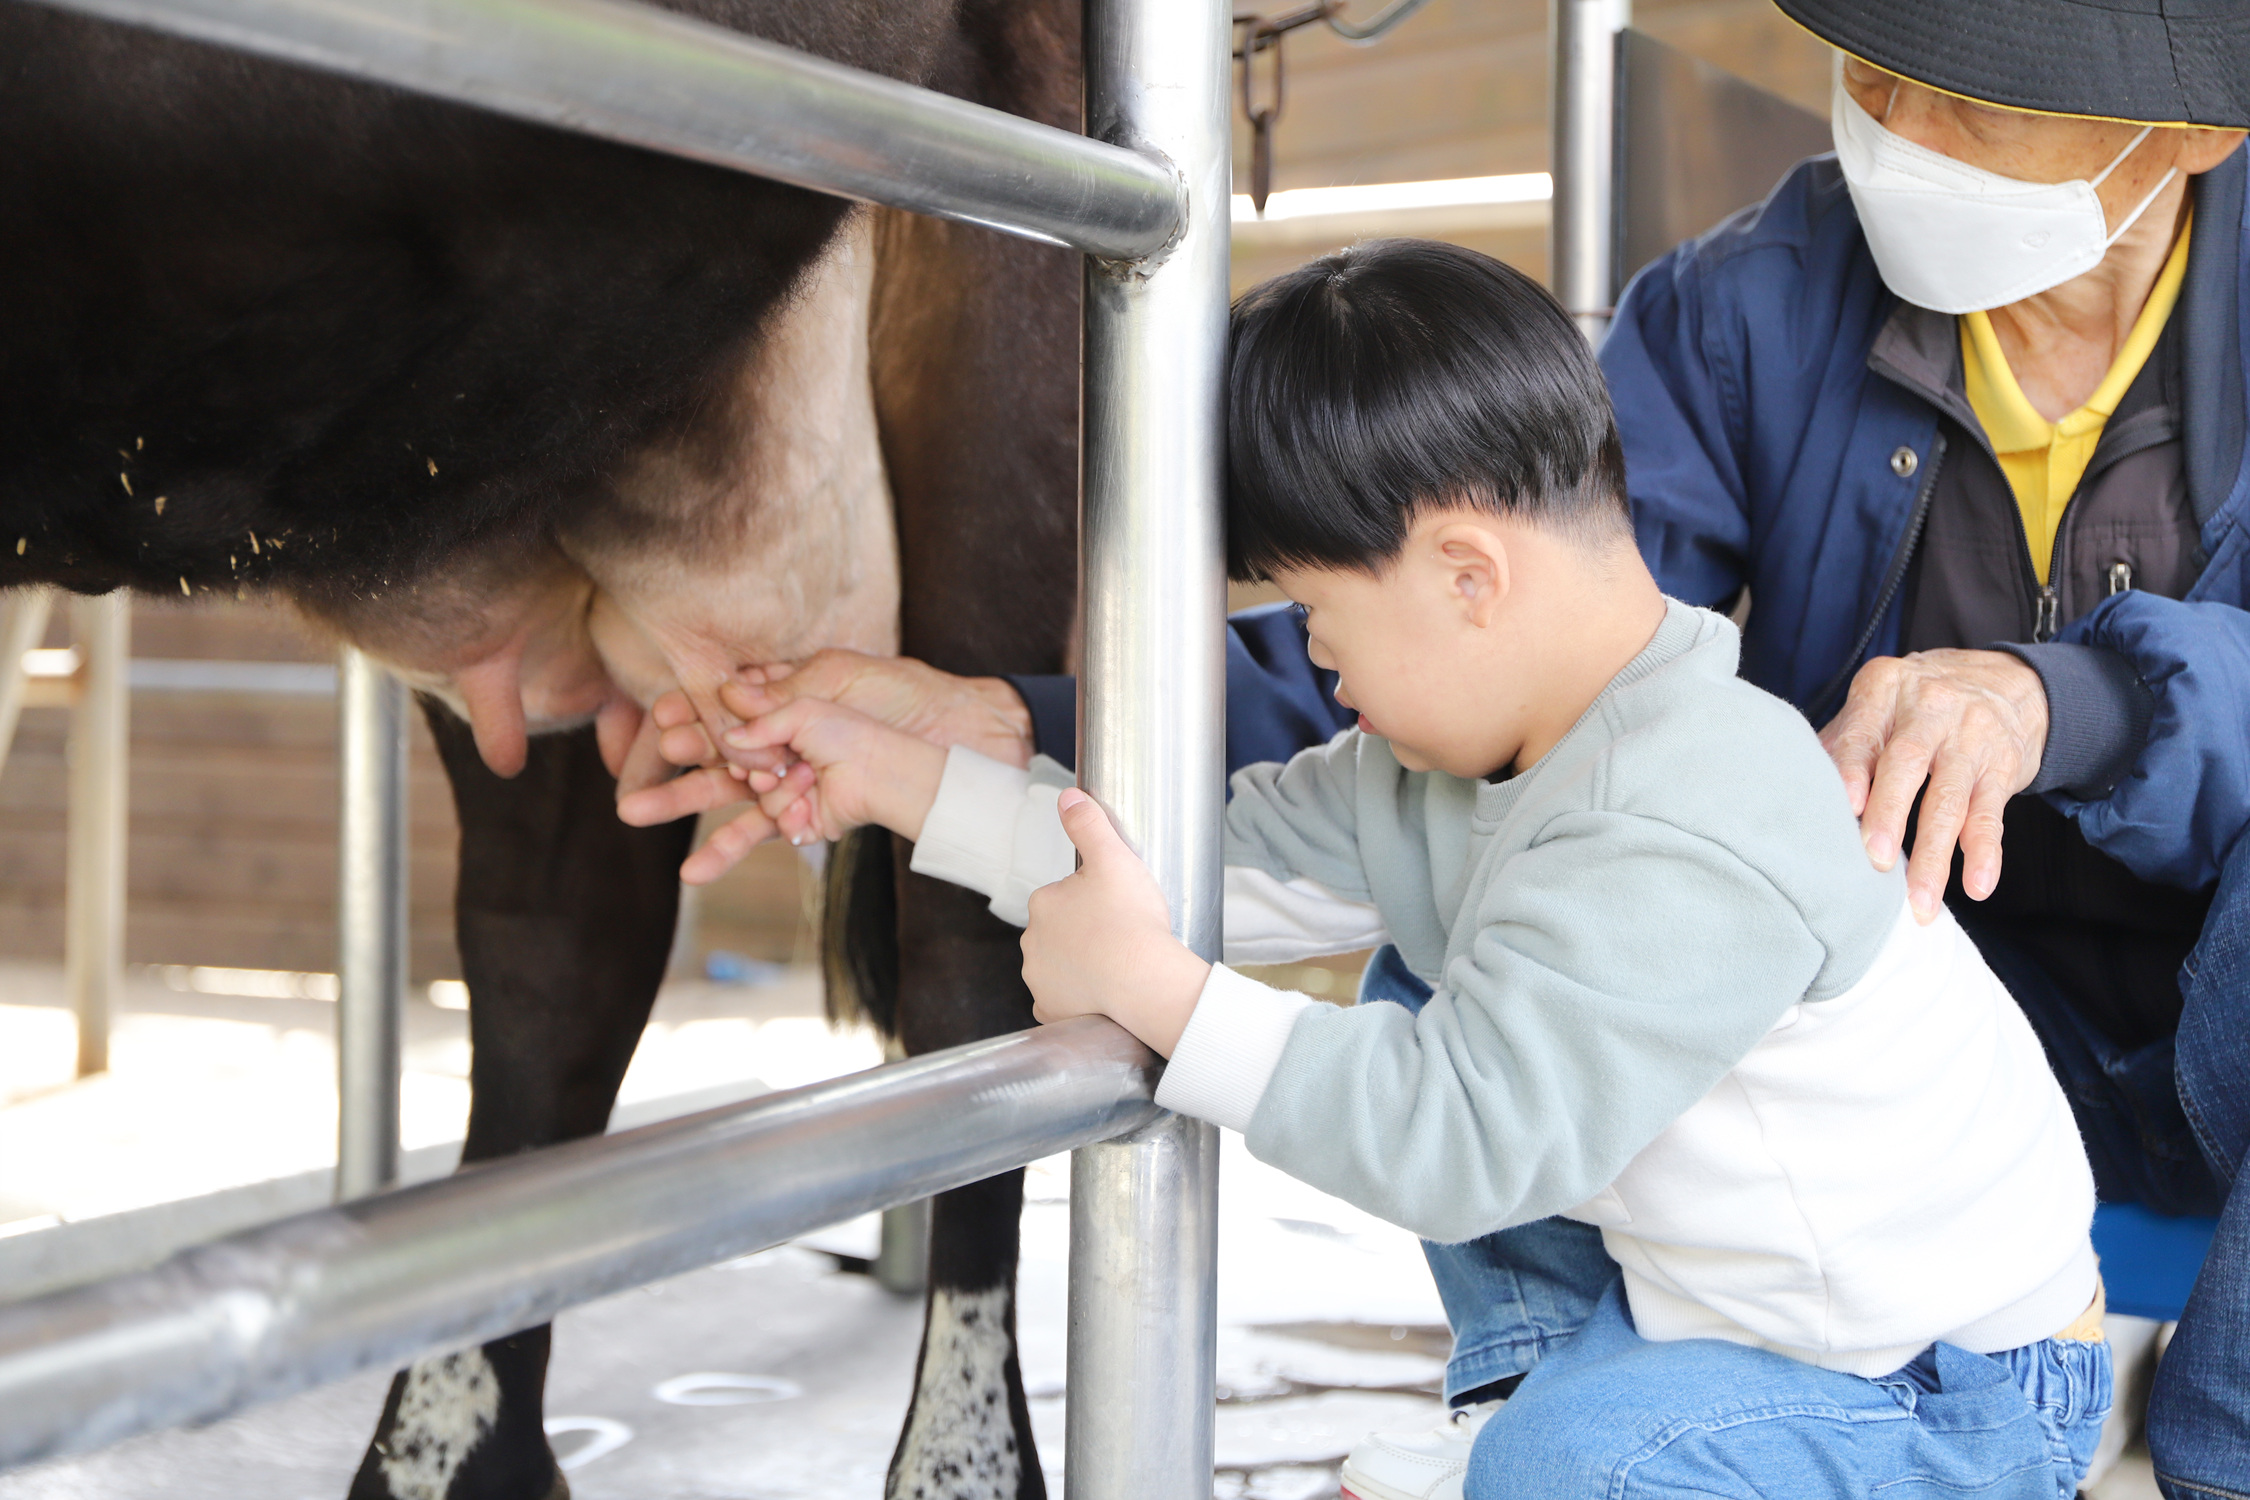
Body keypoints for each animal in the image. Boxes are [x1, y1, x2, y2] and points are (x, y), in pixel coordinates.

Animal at [0, 1, 1083, 1496]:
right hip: (521, 483)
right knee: (555, 947)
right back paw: (454, 1448)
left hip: (1008, 320)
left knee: (967, 964)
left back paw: (959, 1461)